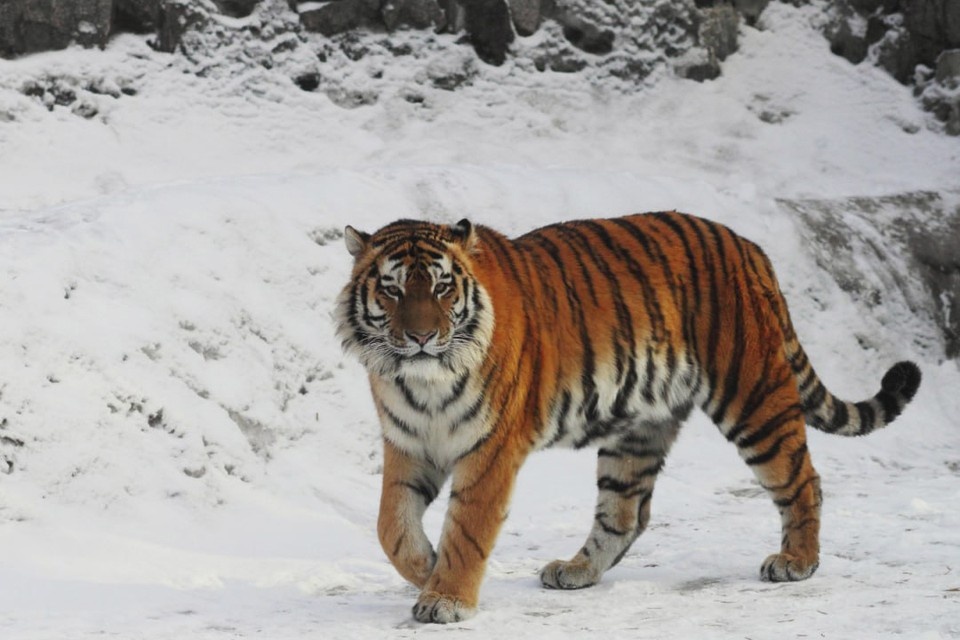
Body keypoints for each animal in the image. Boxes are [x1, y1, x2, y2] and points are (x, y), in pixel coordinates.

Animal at [334, 212, 921, 624]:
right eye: (391, 288)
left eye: (441, 287)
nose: (421, 336)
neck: (421, 381)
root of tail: (750, 246)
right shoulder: (409, 443)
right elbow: (391, 527)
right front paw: (426, 570)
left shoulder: (491, 448)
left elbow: (468, 527)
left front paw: (447, 596)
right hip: (638, 429)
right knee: (626, 512)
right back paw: (576, 570)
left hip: (753, 396)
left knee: (803, 479)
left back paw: (797, 561)